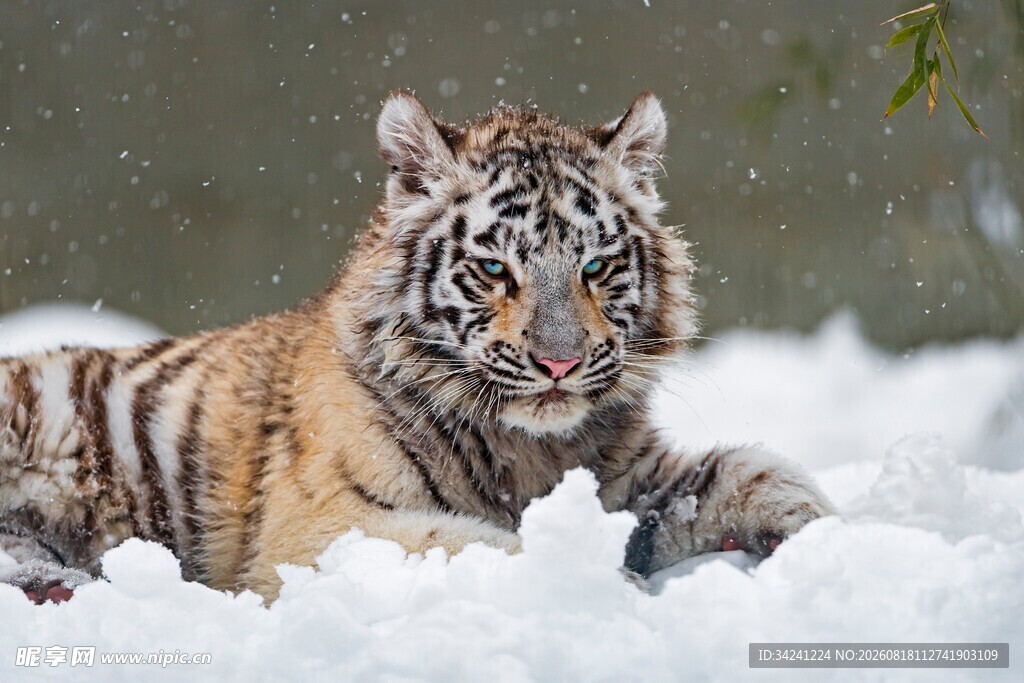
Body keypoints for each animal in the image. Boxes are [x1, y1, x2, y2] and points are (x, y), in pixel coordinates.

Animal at [0, 91, 834, 604]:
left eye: (596, 267)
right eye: (495, 269)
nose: (560, 363)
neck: (531, 448)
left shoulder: (629, 478)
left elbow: (752, 472)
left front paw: (834, 538)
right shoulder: (324, 528)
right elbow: (484, 543)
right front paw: (609, 590)